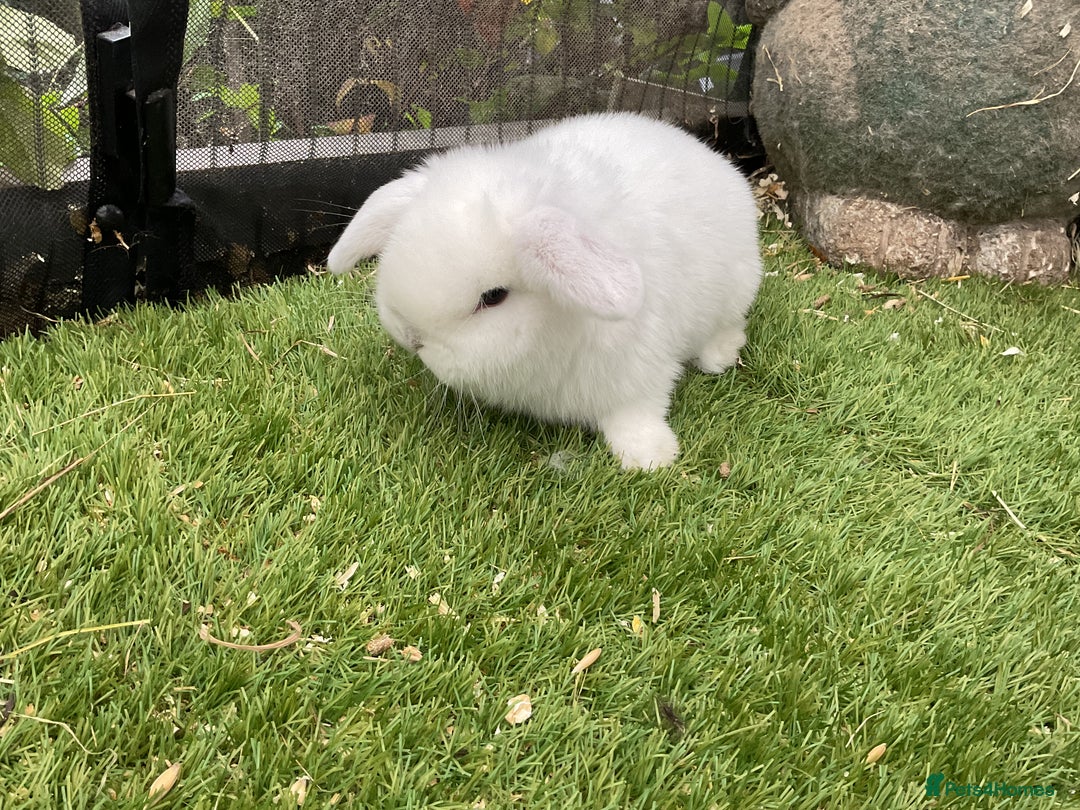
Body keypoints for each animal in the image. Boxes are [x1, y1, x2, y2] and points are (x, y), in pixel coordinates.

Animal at [326, 112, 762, 470]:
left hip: (736, 289)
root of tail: (710, 155)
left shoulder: (639, 371)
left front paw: (650, 457)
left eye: (494, 297)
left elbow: (637, 413)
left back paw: (719, 356)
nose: (412, 338)